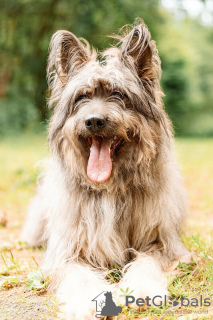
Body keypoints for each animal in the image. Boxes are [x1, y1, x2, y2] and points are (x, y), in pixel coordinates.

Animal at [21, 20, 191, 320]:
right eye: (82, 96)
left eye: (118, 94)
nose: (94, 121)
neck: (110, 187)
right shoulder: (67, 251)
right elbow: (78, 274)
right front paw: (89, 301)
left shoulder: (163, 244)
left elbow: (147, 261)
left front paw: (141, 290)